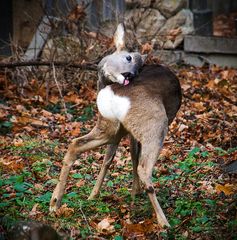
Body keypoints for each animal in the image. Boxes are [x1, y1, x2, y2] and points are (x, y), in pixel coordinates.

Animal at [49, 23, 181, 228]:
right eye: (128, 57)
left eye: (139, 68)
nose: (129, 75)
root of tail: (113, 96)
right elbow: (132, 157)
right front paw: (135, 192)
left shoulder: (123, 131)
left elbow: (112, 158)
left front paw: (96, 195)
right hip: (156, 126)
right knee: (144, 168)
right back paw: (163, 222)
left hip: (108, 126)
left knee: (75, 144)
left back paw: (55, 203)